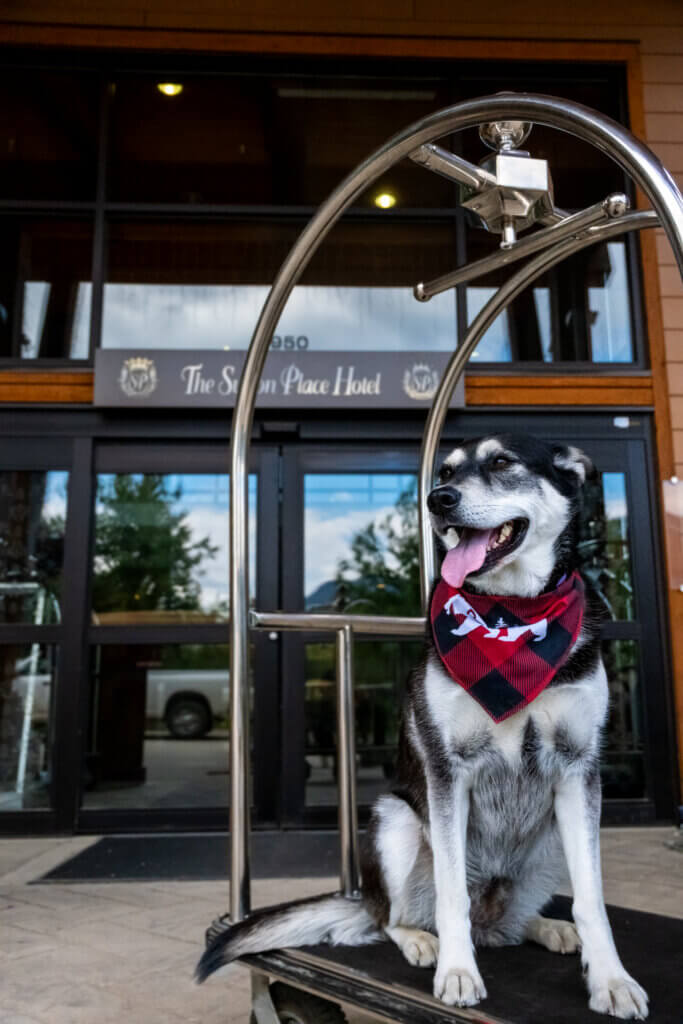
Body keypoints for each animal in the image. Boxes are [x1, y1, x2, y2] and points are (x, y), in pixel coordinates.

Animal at [198, 436, 651, 1019]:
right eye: (447, 472)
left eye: (502, 462)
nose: (438, 500)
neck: (513, 615)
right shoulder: (447, 773)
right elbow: (450, 892)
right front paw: (457, 972)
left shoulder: (578, 772)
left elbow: (593, 901)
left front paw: (611, 979)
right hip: (396, 821)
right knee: (391, 918)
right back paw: (420, 939)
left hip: (553, 835)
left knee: (508, 925)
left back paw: (547, 926)